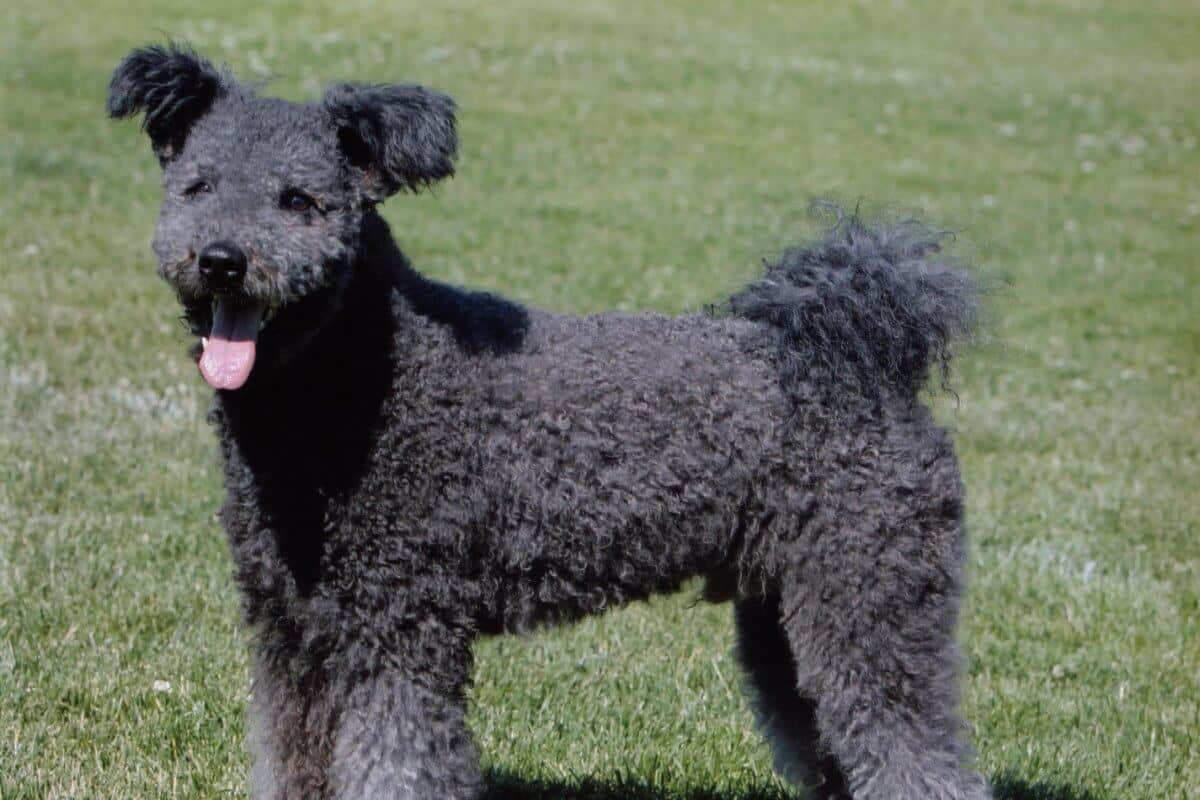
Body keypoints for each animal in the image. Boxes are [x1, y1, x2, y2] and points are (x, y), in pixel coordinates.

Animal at [108, 43, 993, 800]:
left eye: (299, 201)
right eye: (196, 187)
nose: (222, 259)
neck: (354, 387)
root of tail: (862, 355)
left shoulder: (400, 630)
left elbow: (397, 762)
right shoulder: (291, 631)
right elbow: (292, 755)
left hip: (870, 602)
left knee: (919, 756)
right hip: (787, 615)